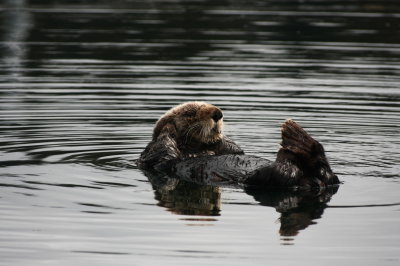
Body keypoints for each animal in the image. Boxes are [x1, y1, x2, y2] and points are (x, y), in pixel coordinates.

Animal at [137, 101, 338, 190]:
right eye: (189, 113)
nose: (217, 113)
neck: (201, 149)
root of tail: (312, 181)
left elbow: (234, 148)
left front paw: (222, 139)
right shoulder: (156, 160)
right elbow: (164, 152)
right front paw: (167, 133)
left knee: (328, 174)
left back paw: (299, 137)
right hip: (264, 178)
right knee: (286, 171)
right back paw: (295, 140)